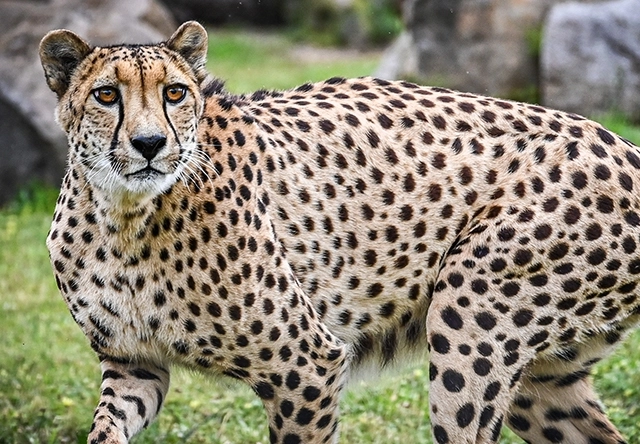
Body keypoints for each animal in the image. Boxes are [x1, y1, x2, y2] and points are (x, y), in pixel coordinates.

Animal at [39, 20, 640, 444]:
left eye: (175, 93)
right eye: (107, 96)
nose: (149, 144)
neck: (123, 215)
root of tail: (620, 141)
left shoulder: (306, 364)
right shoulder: (133, 365)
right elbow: (105, 427)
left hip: (469, 320)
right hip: (543, 382)